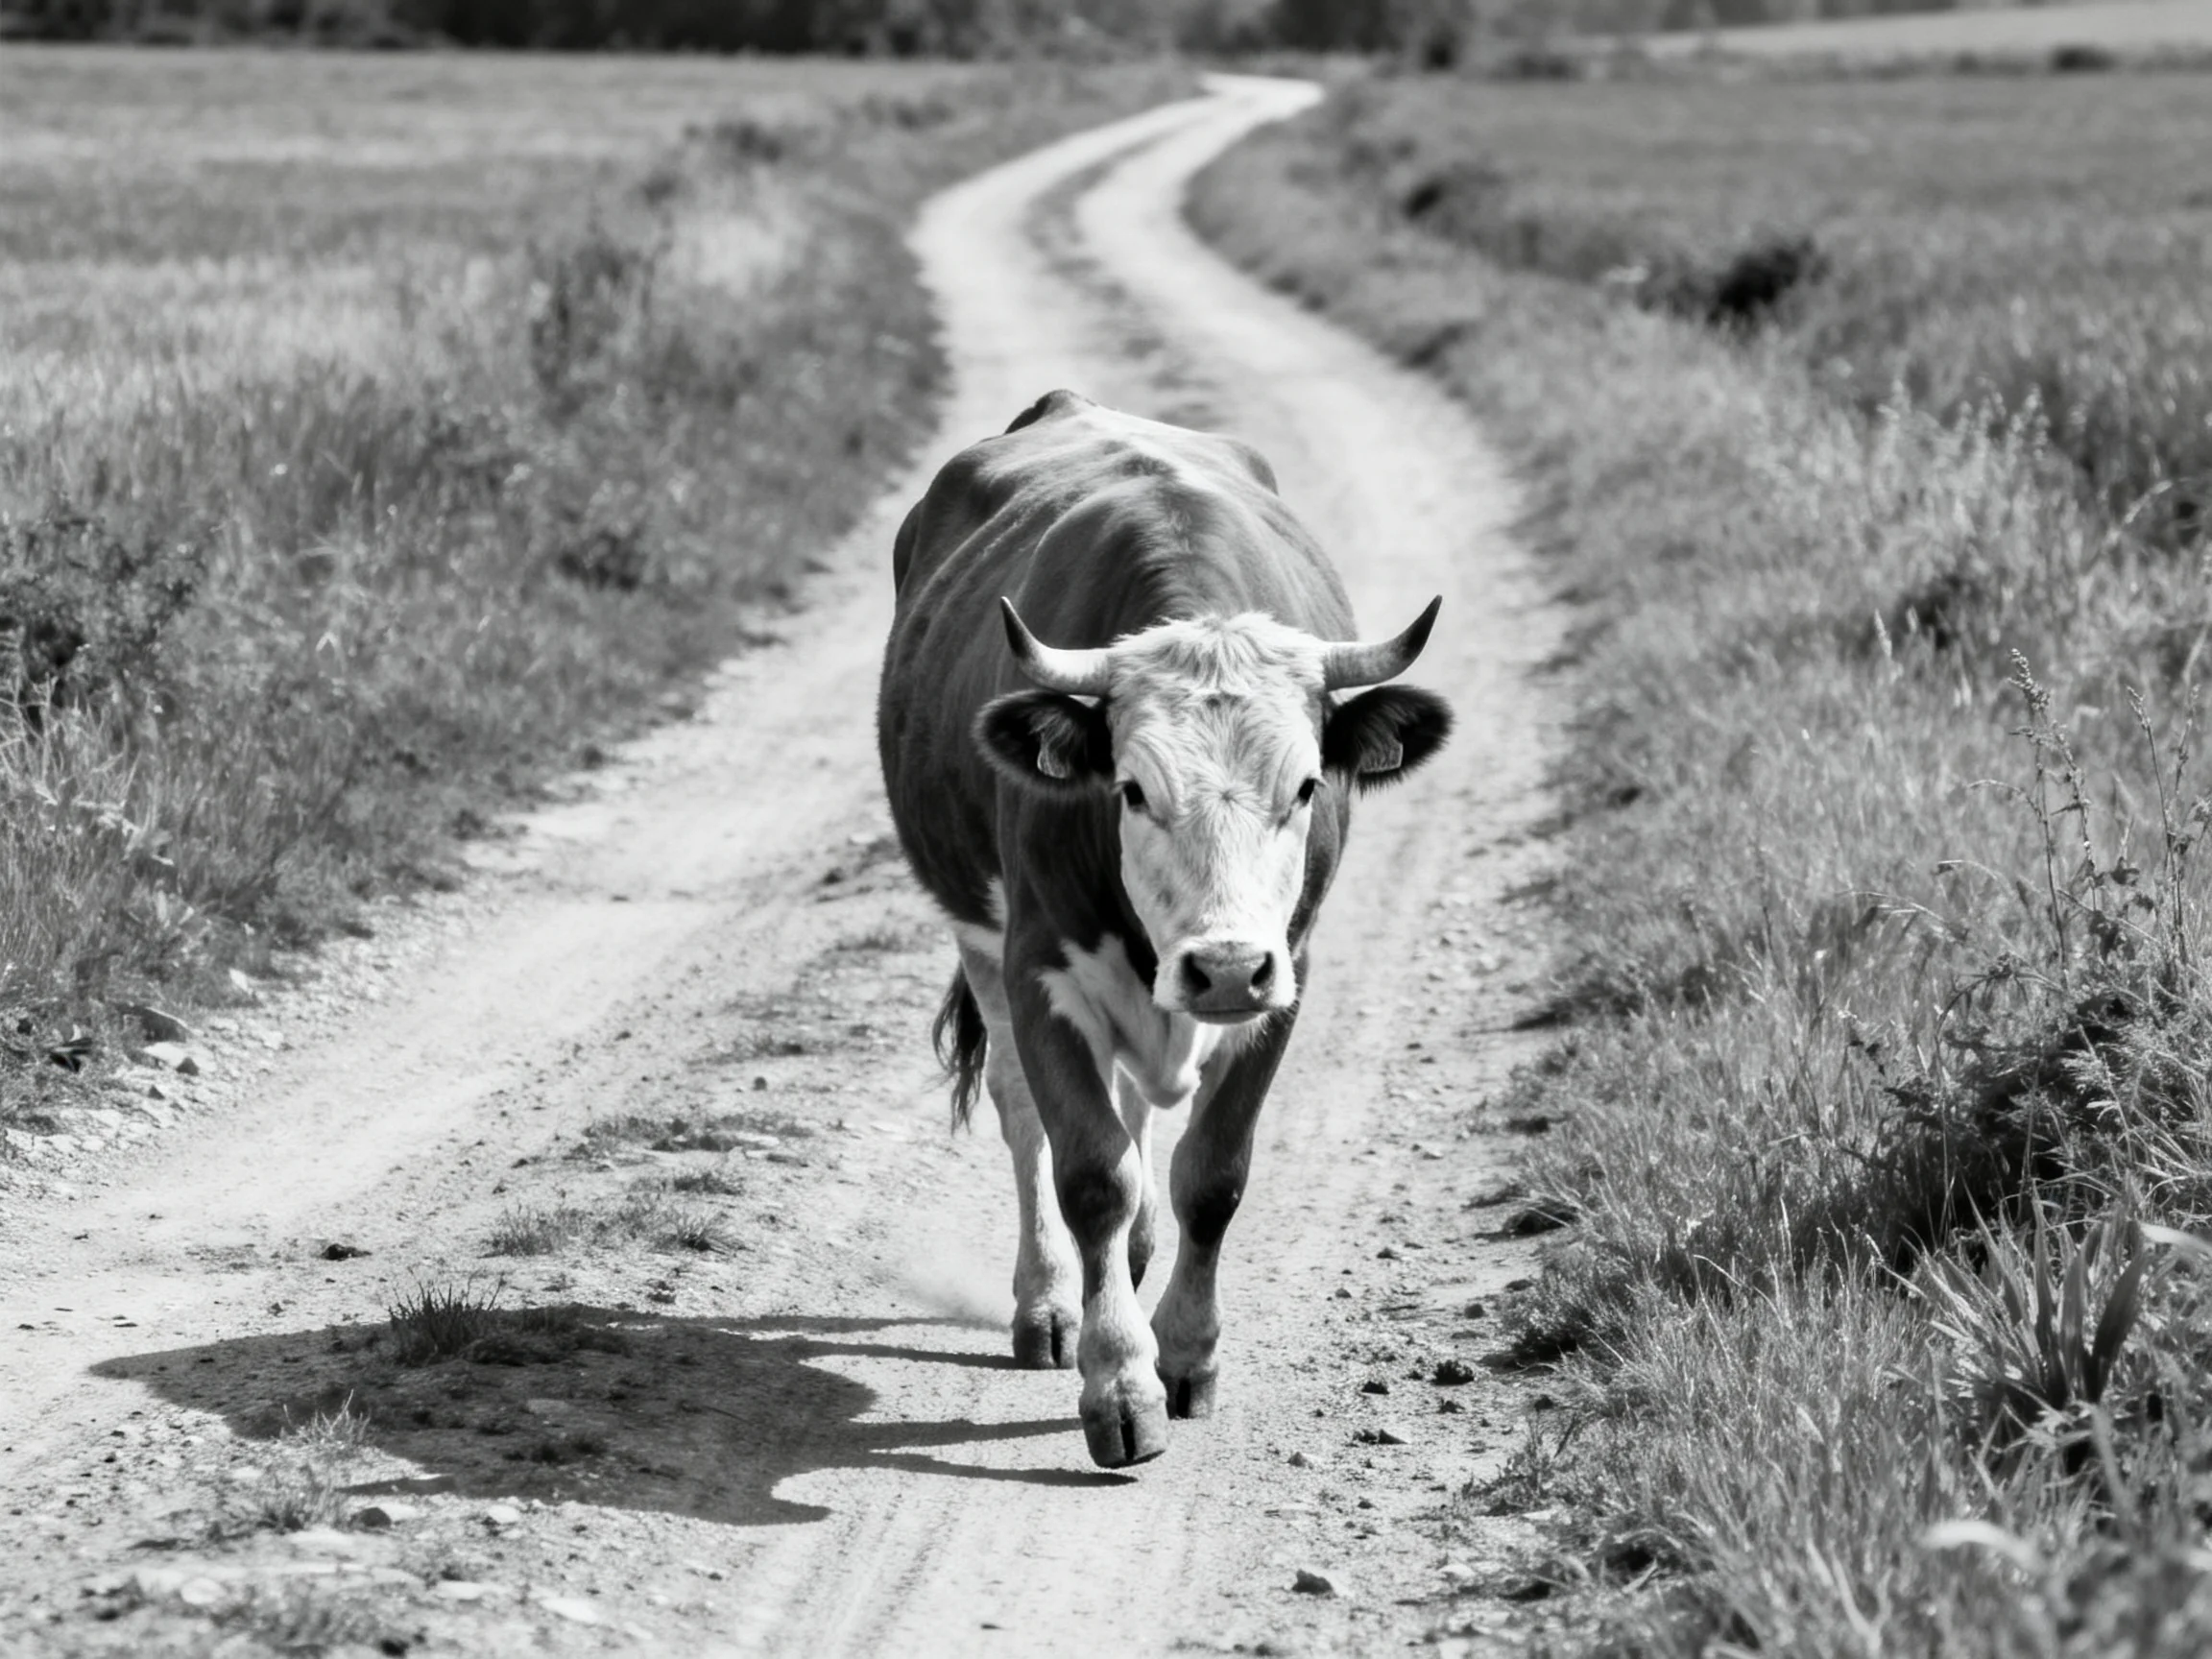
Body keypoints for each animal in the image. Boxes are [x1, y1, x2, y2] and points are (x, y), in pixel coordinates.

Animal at [877, 390, 1451, 1469]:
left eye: (1304, 787)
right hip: (977, 936)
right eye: (1134, 790)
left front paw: (1185, 1356)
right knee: (1026, 1118)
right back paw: (1049, 1303)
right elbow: (1090, 1171)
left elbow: (1212, 1176)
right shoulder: (1039, 968)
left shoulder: (1286, 975)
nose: (1223, 966)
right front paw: (1120, 1385)